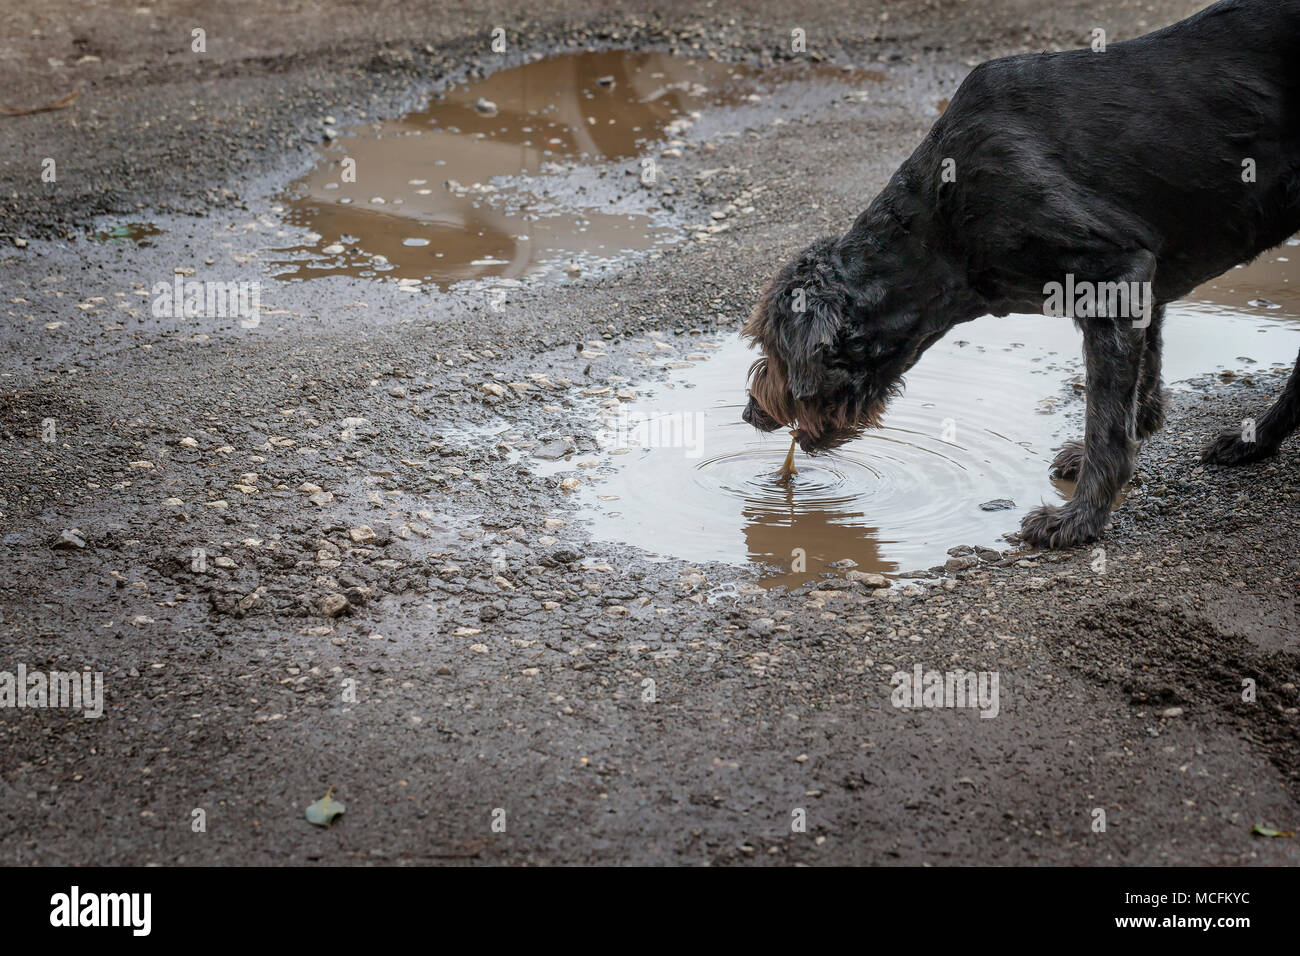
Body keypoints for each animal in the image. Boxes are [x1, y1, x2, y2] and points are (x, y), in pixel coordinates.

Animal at [743, 0, 1300, 548]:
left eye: (771, 349)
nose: (750, 413)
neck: (937, 229)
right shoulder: (1148, 274)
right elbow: (1145, 378)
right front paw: (1137, 430)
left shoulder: (1115, 276)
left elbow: (1105, 421)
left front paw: (1078, 520)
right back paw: (1255, 443)